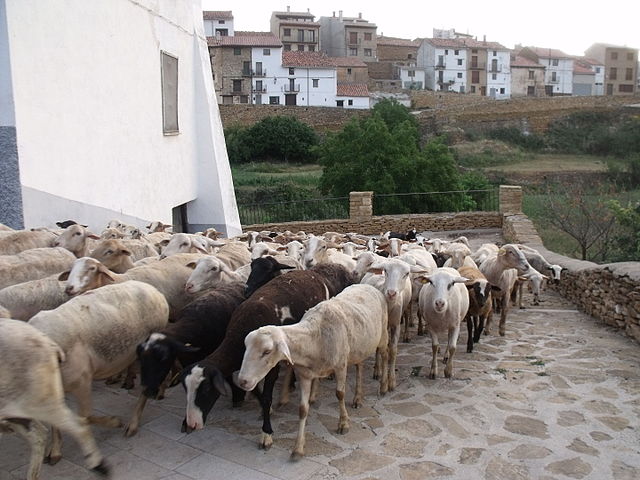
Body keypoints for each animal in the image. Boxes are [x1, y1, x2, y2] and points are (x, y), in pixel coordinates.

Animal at [28, 280, 168, 464]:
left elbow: (84, 416)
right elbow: (57, 420)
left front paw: (116, 422)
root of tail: (157, 292)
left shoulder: (82, 378)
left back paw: (132, 426)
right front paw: (54, 455)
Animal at [126, 281, 246, 437]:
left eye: (163, 357)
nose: (148, 391)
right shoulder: (189, 362)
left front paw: (238, 396)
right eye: (141, 359)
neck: (194, 322)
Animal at [180, 263, 356, 449]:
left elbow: (266, 398)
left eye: (206, 389)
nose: (191, 424)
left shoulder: (271, 365)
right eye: (185, 389)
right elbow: (251, 388)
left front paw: (266, 433)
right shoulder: (248, 369)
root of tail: (312, 273)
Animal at [237, 283, 389, 460]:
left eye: (267, 351)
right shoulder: (305, 375)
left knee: (385, 354)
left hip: (382, 336)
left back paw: (384, 387)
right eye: (246, 346)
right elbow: (302, 409)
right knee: (360, 366)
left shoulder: (341, 366)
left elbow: (340, 394)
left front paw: (343, 423)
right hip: (359, 347)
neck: (315, 337)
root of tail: (366, 284)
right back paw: (357, 397)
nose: (242, 381)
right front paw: (298, 448)